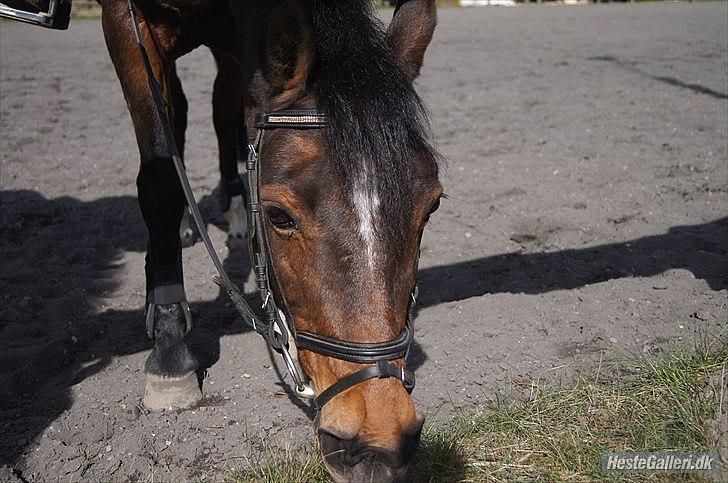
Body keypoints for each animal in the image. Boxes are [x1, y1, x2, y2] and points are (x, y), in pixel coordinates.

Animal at [100, 0, 440, 480]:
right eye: (278, 215)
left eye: (432, 206)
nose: (378, 443)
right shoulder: (126, 24)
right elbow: (161, 178)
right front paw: (169, 345)